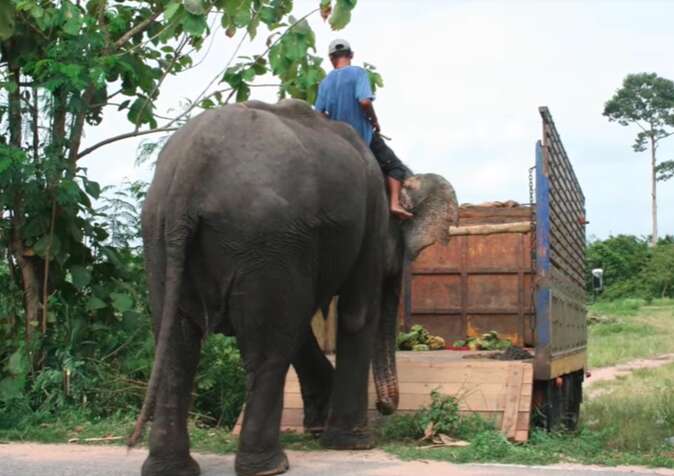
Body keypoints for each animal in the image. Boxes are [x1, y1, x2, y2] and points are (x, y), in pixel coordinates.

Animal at [131, 97, 456, 476]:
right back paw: (270, 466)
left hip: (163, 236)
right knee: (267, 349)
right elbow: (355, 314)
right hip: (265, 237)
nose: (386, 407)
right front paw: (353, 442)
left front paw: (319, 426)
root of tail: (191, 166)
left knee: (177, 348)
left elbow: (300, 320)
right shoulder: (369, 223)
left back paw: (172, 468)